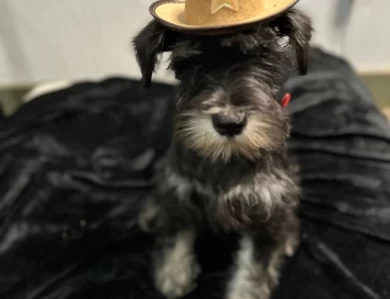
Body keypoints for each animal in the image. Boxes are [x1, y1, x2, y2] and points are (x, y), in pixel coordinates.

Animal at [133, 7, 312, 299]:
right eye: (190, 61)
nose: (229, 123)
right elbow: (174, 236)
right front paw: (172, 277)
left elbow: (255, 266)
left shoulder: (266, 211)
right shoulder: (179, 191)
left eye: (263, 54)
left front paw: (244, 292)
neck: (227, 158)